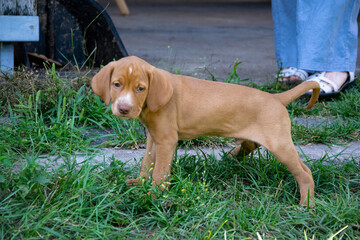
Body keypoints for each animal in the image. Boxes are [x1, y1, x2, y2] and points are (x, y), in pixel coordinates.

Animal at [93, 56, 320, 206]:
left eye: (140, 88)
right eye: (116, 84)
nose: (124, 108)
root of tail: (276, 98)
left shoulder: (166, 139)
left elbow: (159, 171)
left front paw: (153, 196)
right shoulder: (153, 136)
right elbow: (147, 161)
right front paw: (140, 183)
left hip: (279, 145)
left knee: (304, 172)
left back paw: (306, 205)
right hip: (259, 140)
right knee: (254, 148)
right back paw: (231, 158)